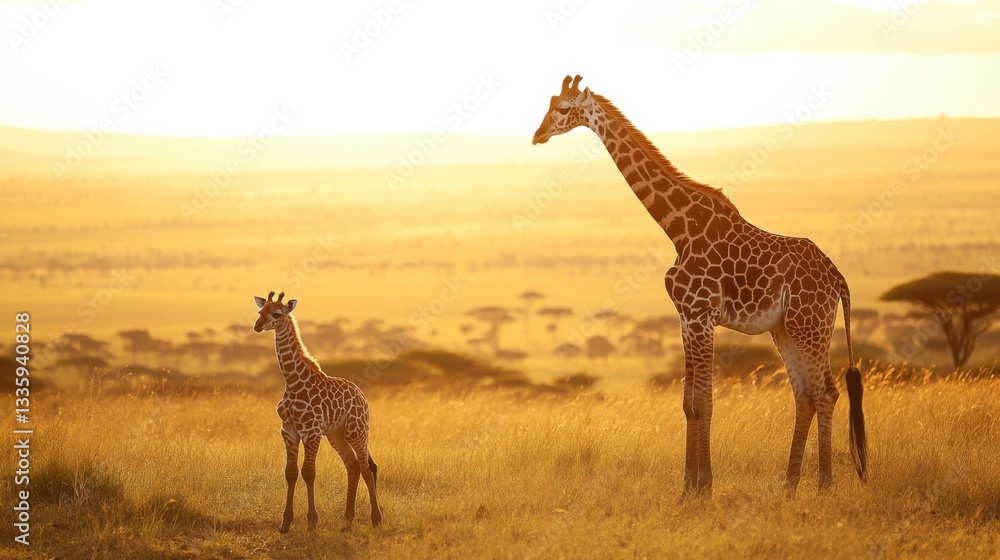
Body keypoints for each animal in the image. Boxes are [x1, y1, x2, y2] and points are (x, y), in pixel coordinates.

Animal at [253, 291, 382, 531]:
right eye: (260, 311)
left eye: (277, 313)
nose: (257, 326)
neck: (293, 382)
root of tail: (362, 396)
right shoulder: (288, 431)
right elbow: (291, 473)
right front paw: (285, 523)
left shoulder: (311, 432)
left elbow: (308, 473)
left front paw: (312, 522)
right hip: (336, 435)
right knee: (353, 466)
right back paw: (347, 520)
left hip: (357, 431)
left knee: (367, 469)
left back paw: (376, 519)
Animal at [532, 75, 867, 494]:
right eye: (548, 104)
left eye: (563, 109)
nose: (537, 135)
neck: (678, 226)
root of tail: (838, 277)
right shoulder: (685, 317)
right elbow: (688, 403)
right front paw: (687, 489)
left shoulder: (702, 313)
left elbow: (704, 402)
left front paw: (704, 486)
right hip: (785, 330)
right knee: (805, 394)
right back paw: (789, 486)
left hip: (811, 325)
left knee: (826, 392)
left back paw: (823, 485)